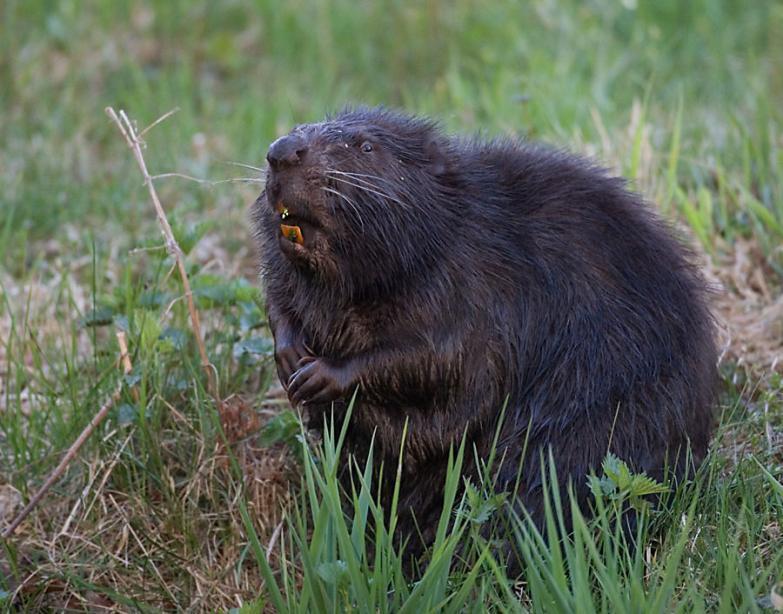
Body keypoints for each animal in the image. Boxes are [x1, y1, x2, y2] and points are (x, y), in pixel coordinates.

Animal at [254, 106, 720, 568]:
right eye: (299, 126)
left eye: (365, 146)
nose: (282, 151)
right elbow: (279, 294)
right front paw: (290, 354)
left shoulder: (480, 285)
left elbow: (441, 361)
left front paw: (320, 374)